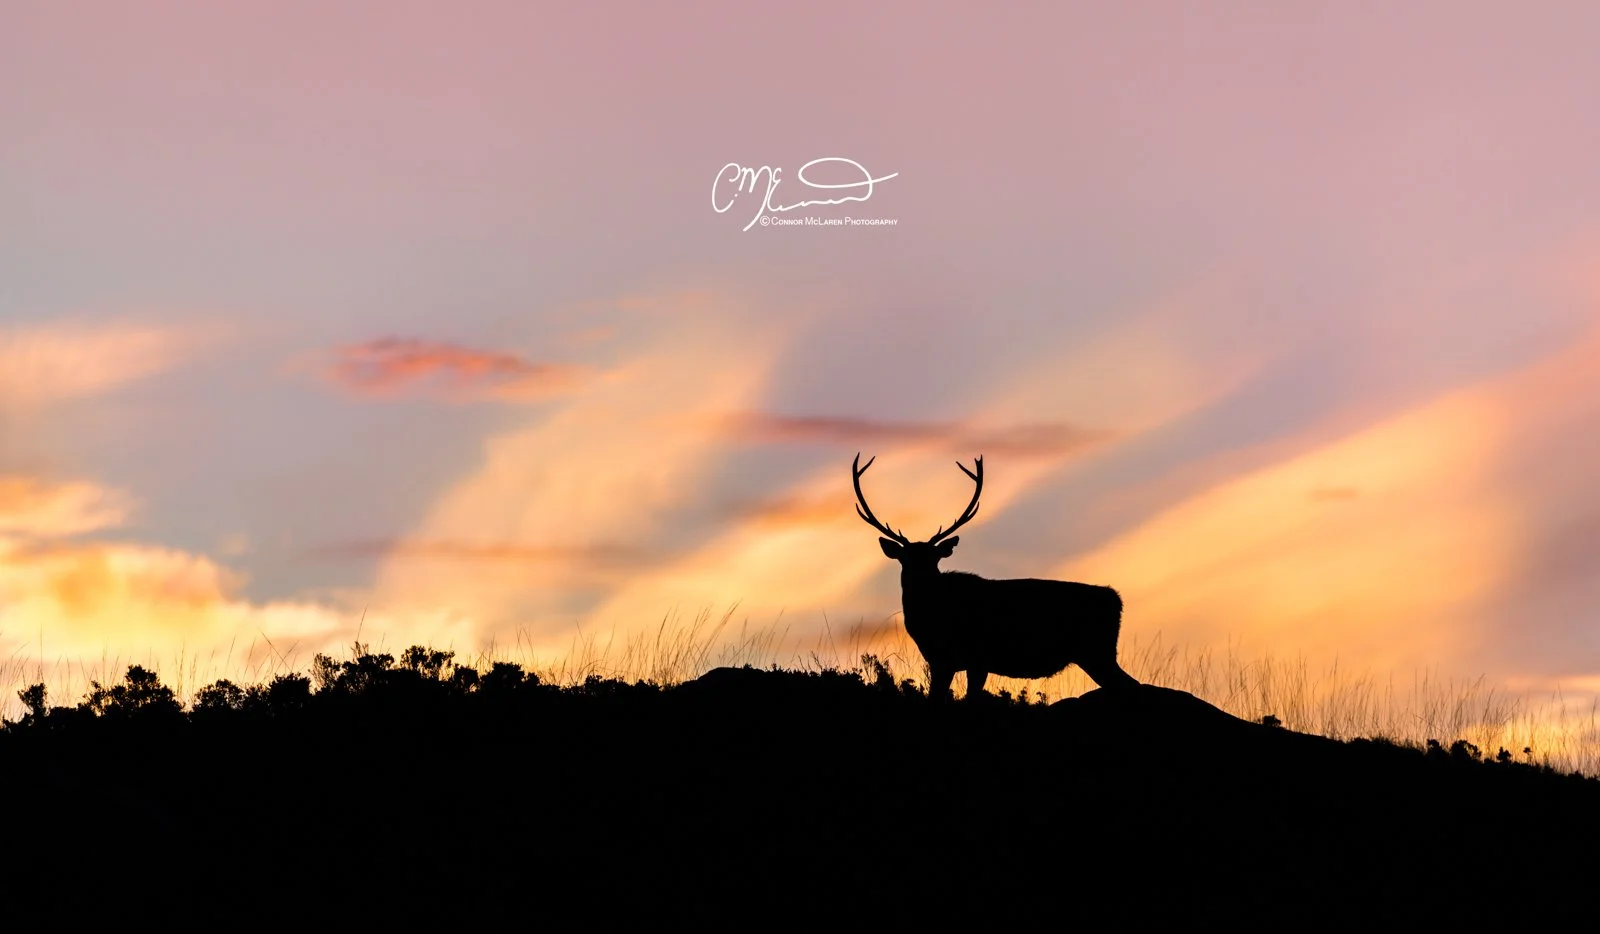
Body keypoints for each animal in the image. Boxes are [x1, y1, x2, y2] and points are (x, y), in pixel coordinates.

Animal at [852, 453, 1139, 700]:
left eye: (934, 558)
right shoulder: (941, 661)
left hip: (1096, 651)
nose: (921, 578)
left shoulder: (977, 657)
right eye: (906, 558)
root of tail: (1116, 599)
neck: (931, 623)